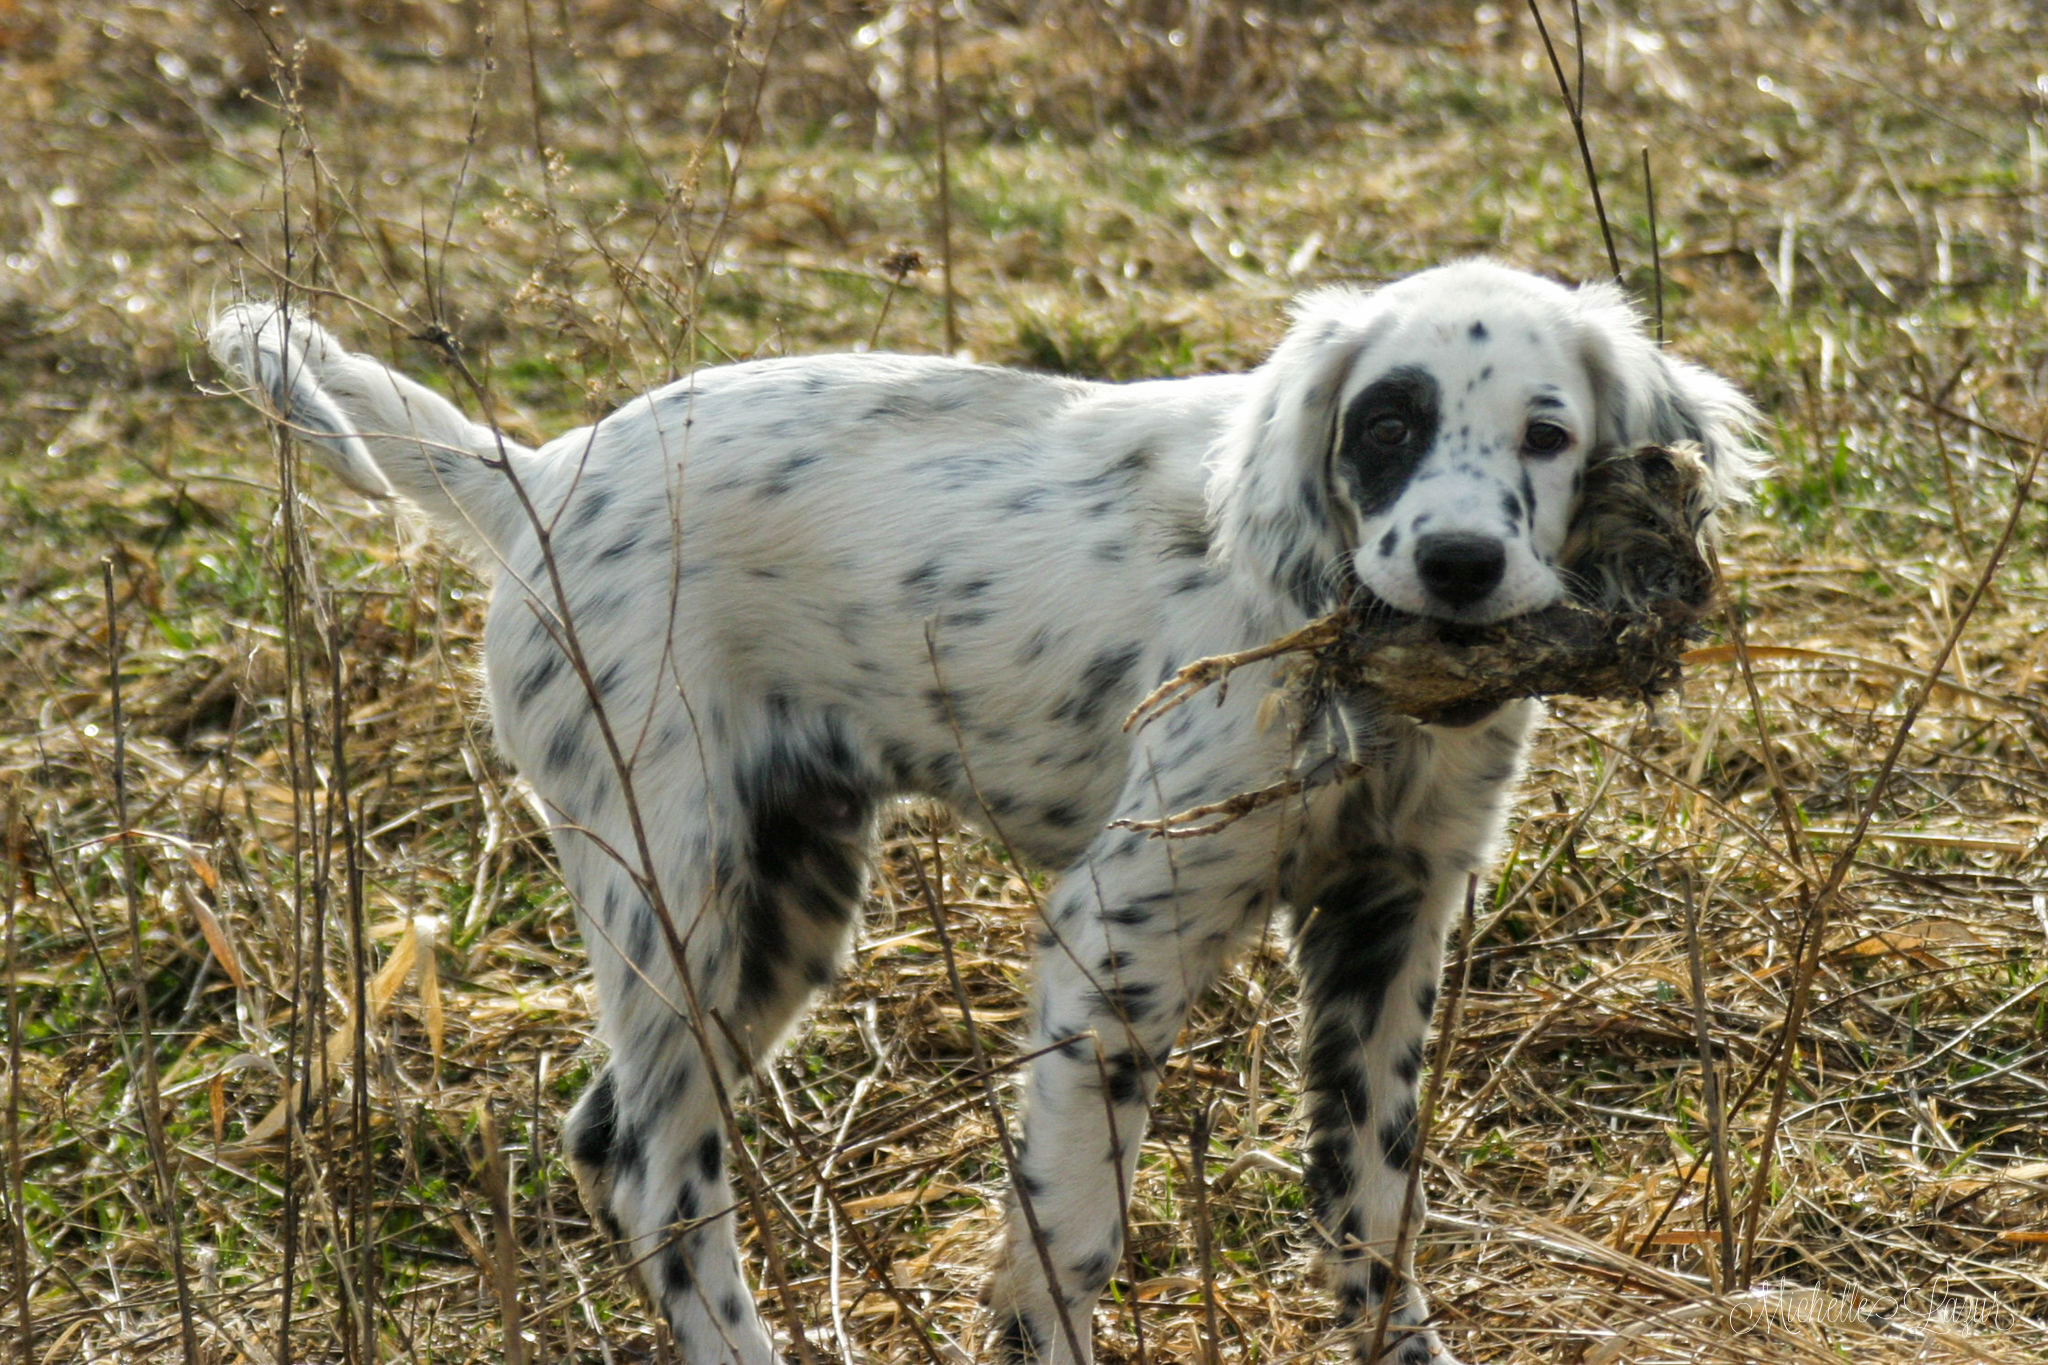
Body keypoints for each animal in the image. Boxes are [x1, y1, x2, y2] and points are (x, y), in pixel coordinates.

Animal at [211, 258, 1761, 1365]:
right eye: (1386, 426)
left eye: (1547, 435)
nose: (1455, 566)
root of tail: (539, 480)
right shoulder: (1121, 933)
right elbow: (1068, 1238)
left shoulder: (1390, 923)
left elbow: (1370, 1207)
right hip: (677, 882)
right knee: (660, 1174)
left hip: (785, 898)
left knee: (608, 1137)